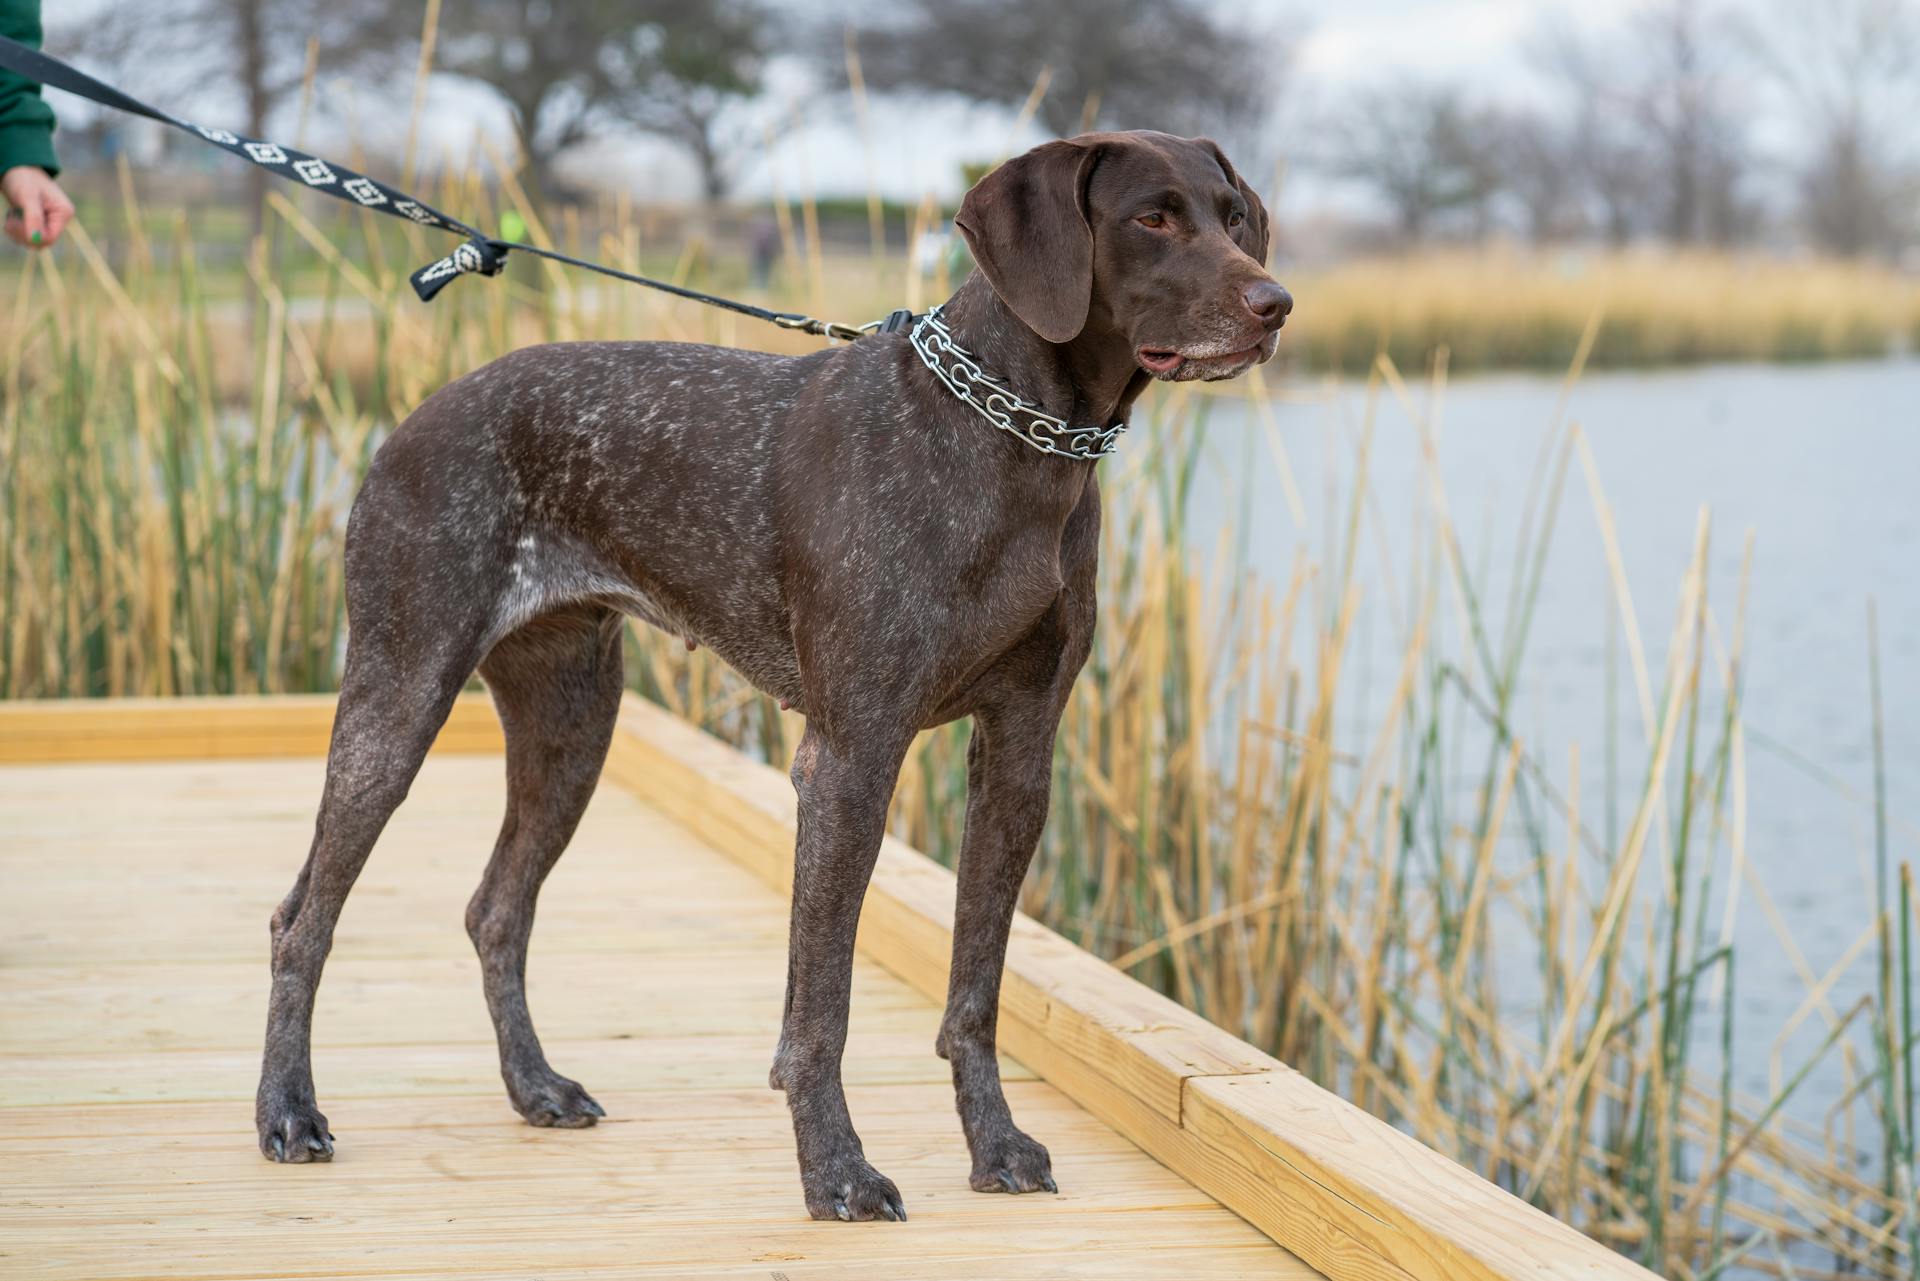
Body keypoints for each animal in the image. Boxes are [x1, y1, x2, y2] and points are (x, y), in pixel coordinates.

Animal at [259, 130, 1290, 1221]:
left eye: (1233, 216)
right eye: (1152, 217)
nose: (1276, 303)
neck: (1009, 443)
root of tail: (408, 422)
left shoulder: (1019, 756)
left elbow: (976, 992)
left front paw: (995, 1144)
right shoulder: (851, 758)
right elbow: (821, 1007)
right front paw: (836, 1170)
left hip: (571, 727)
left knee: (498, 909)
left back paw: (535, 1086)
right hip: (398, 701)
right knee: (302, 920)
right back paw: (287, 1112)